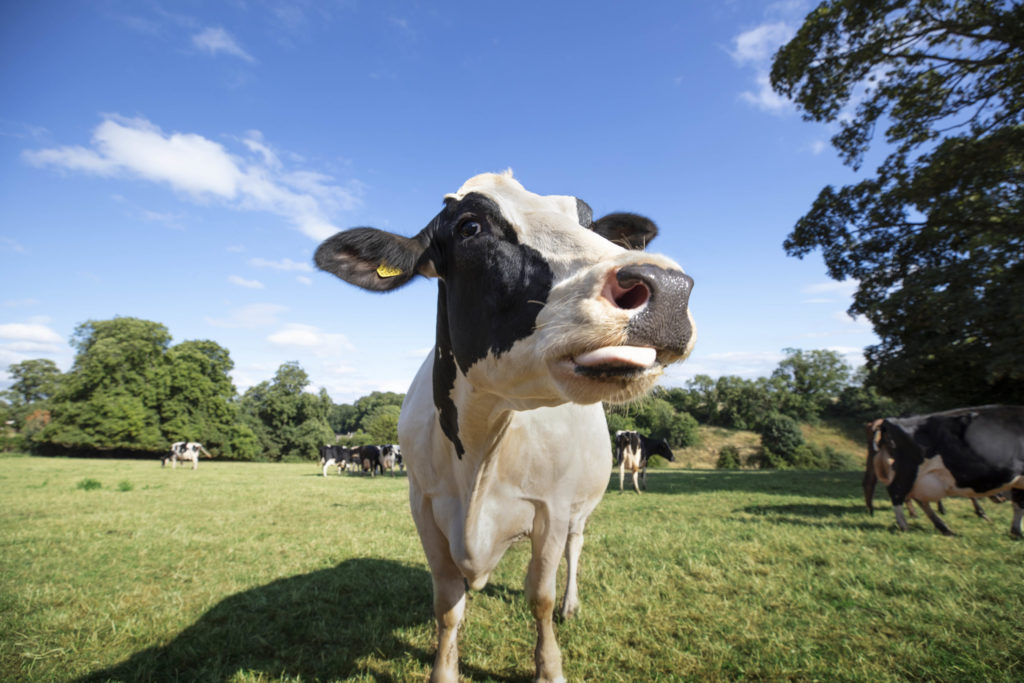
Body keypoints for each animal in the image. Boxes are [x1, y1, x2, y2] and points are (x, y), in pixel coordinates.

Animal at [315, 171, 695, 682]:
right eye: (470, 227)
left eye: (590, 224)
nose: (668, 286)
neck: (479, 451)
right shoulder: (424, 507)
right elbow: (447, 606)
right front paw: (444, 670)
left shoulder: (552, 508)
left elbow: (540, 596)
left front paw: (549, 667)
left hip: (582, 504)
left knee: (575, 549)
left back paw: (572, 604)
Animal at [872, 405, 1024, 537]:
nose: (1001, 497)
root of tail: (890, 420)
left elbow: (1018, 504)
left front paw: (1016, 532)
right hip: (910, 469)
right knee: (896, 491)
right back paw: (904, 526)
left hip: (921, 477)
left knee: (918, 498)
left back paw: (944, 528)